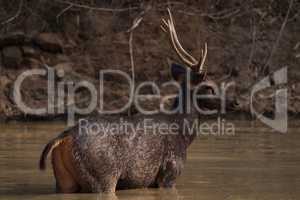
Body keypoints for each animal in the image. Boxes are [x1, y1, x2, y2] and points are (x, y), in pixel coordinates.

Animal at [39, 8, 209, 193]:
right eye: (208, 87)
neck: (183, 133)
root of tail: (64, 137)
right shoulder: (170, 171)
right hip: (103, 175)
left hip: (64, 181)